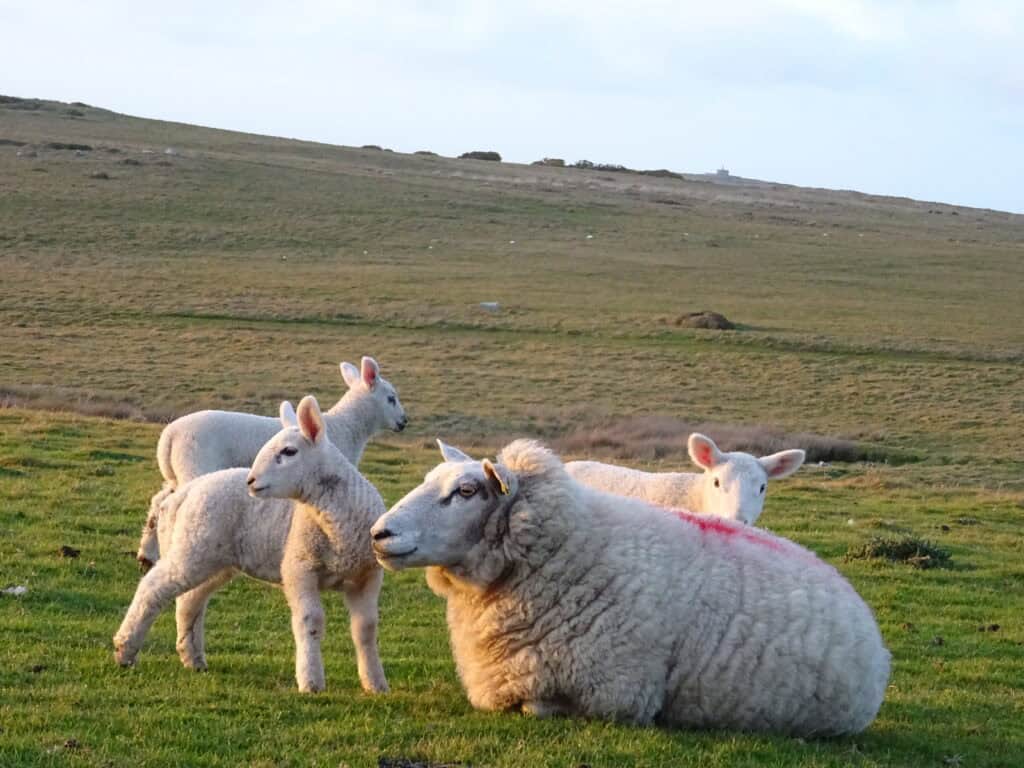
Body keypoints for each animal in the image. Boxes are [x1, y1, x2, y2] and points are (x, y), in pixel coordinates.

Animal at [113, 395, 389, 693]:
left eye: (289, 451)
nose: (251, 481)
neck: (337, 522)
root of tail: (183, 493)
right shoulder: (298, 568)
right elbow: (310, 622)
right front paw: (311, 681)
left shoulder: (367, 577)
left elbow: (366, 629)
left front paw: (375, 683)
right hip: (192, 546)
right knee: (152, 588)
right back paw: (125, 650)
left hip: (214, 558)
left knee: (190, 600)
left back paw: (193, 658)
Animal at [137, 356, 406, 570]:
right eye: (391, 398)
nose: (404, 422)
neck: (346, 427)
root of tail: (169, 436)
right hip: (195, 466)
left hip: (175, 473)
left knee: (158, 502)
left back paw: (146, 554)